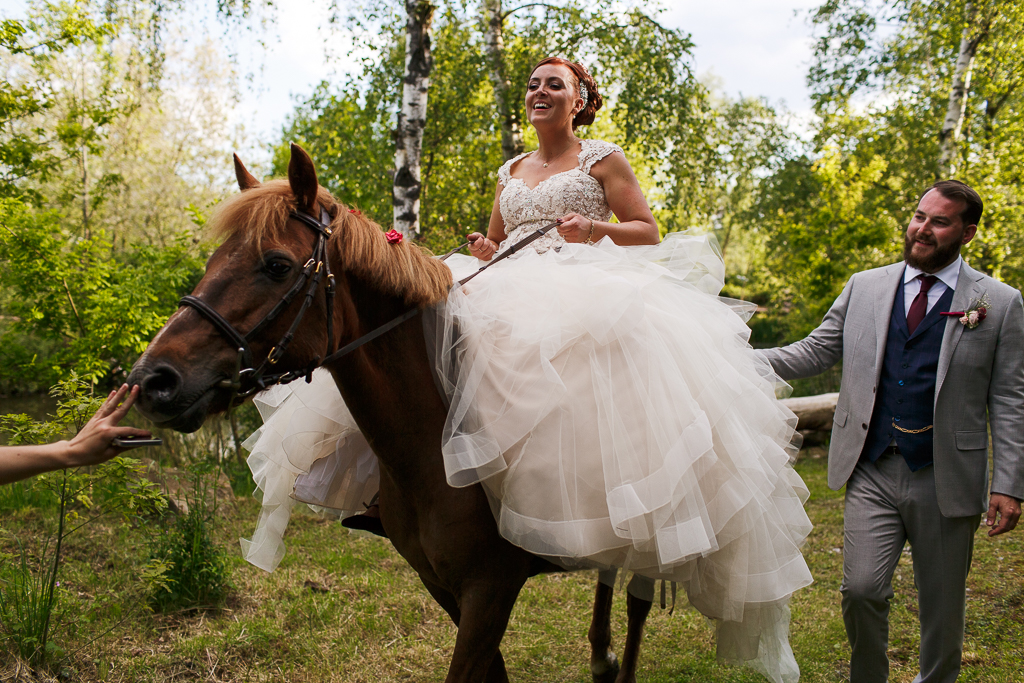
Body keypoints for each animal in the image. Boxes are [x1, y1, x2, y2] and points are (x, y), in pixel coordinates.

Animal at [128, 143, 655, 679]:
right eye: (214, 259)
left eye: (276, 265)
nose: (152, 380)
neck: (433, 446)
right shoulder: (443, 586)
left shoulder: (491, 589)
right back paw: (601, 657)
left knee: (640, 598)